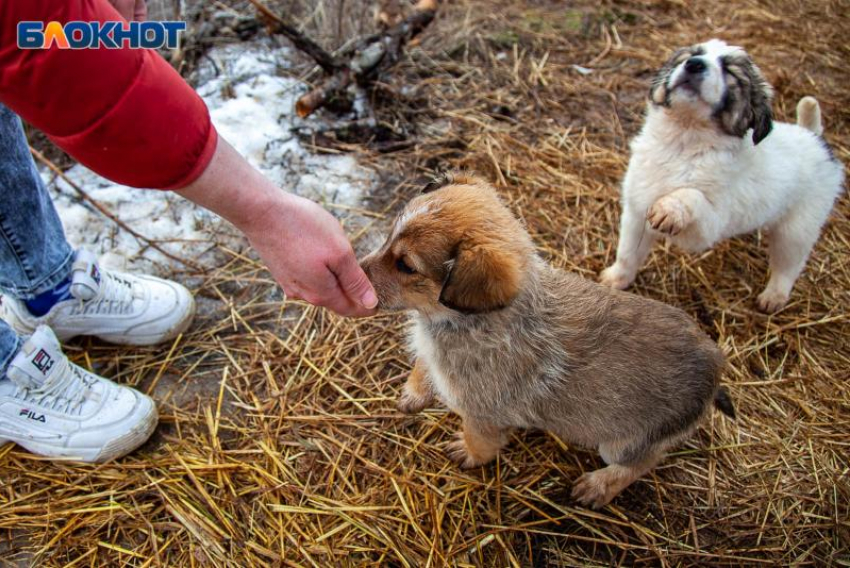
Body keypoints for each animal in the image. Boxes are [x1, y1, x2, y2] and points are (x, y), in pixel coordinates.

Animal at [362, 174, 732, 510]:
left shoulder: (483, 416)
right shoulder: (432, 353)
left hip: (624, 443)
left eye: (406, 266)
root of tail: (714, 361)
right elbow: (423, 365)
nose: (356, 271)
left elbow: (480, 442)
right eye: (389, 235)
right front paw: (413, 393)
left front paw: (467, 453)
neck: (462, 322)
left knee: (641, 464)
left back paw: (597, 487)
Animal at [600, 37, 844, 312]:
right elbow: (628, 253)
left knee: (789, 265)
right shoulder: (636, 210)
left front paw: (670, 208)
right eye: (691, 55)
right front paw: (615, 279)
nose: (694, 64)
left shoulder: (708, 226)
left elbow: (692, 195)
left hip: (798, 227)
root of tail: (816, 139)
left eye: (729, 71)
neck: (683, 144)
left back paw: (774, 296)